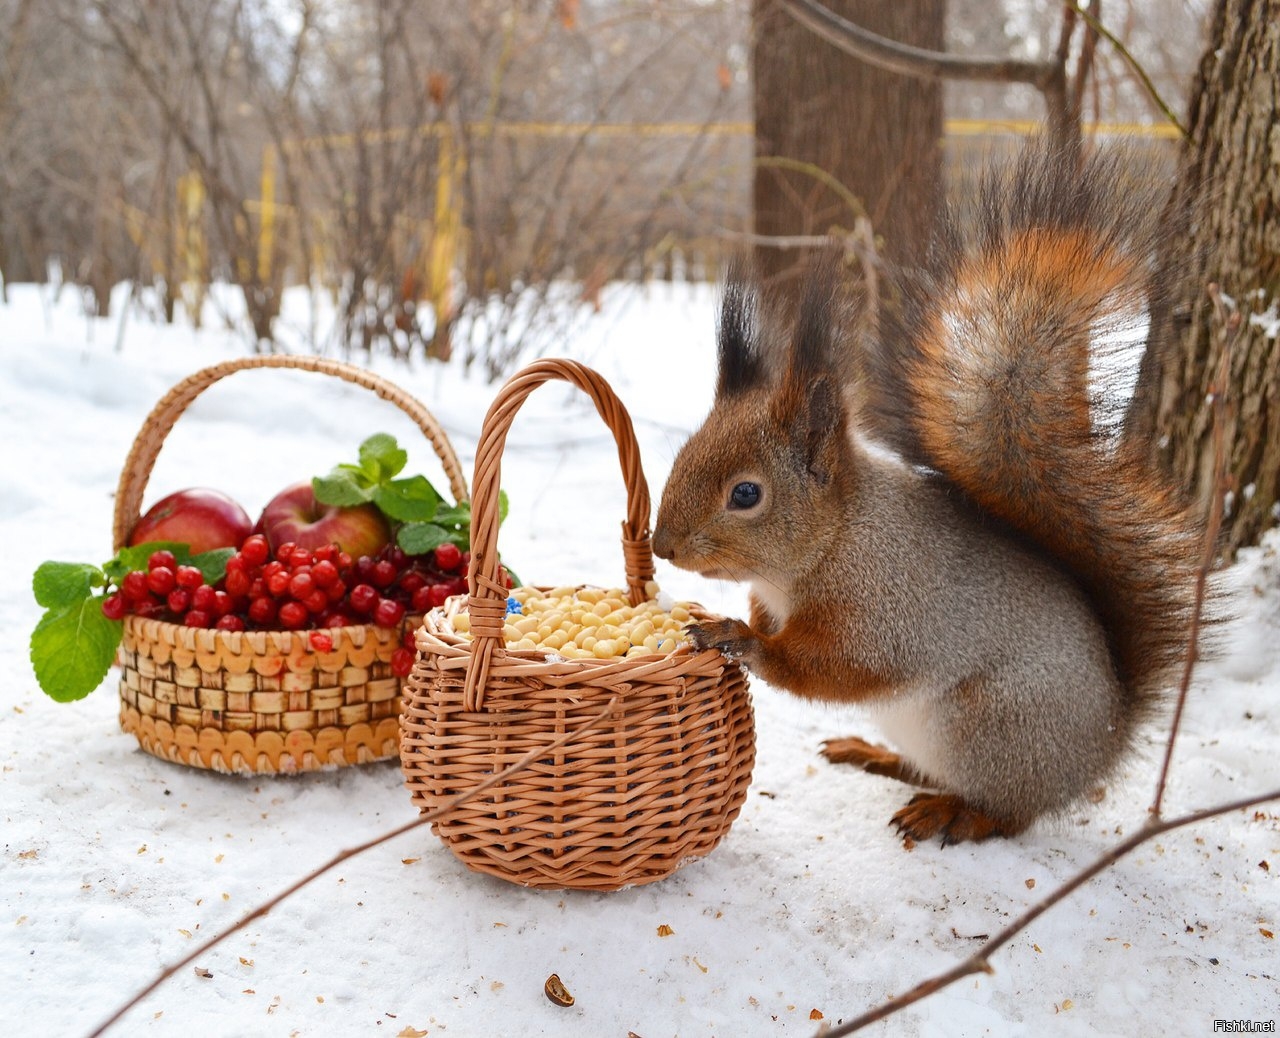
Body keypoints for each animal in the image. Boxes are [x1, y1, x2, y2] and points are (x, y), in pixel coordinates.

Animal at [655, 143, 1203, 844]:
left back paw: (956, 811)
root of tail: (1100, 749)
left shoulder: (886, 610)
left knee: (1010, 811)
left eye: (746, 494)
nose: (662, 546)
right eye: (683, 454)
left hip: (991, 728)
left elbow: (837, 668)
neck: (836, 538)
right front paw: (733, 615)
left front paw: (741, 638)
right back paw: (875, 755)